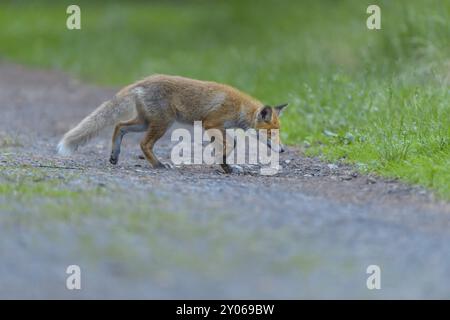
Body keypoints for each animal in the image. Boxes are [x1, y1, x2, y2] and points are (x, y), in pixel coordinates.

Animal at [58, 74, 286, 172]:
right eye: (270, 134)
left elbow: (224, 147)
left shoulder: (217, 128)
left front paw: (226, 165)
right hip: (162, 124)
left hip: (145, 122)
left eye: (279, 133)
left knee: (119, 126)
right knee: (143, 143)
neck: (238, 107)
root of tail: (141, 81)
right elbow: (232, 144)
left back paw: (115, 156)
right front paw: (226, 167)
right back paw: (158, 164)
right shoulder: (211, 124)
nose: (283, 150)